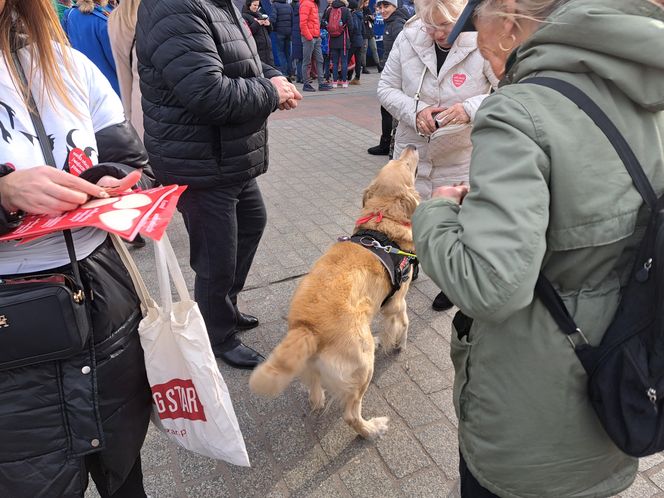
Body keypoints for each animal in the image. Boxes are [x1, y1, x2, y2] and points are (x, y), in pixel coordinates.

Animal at [249, 146, 420, 438]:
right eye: (406, 165)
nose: (413, 146)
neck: (382, 224)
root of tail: (307, 327)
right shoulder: (396, 301)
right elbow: (404, 323)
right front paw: (399, 344)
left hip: (315, 366)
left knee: (315, 392)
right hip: (363, 368)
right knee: (351, 414)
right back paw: (371, 428)